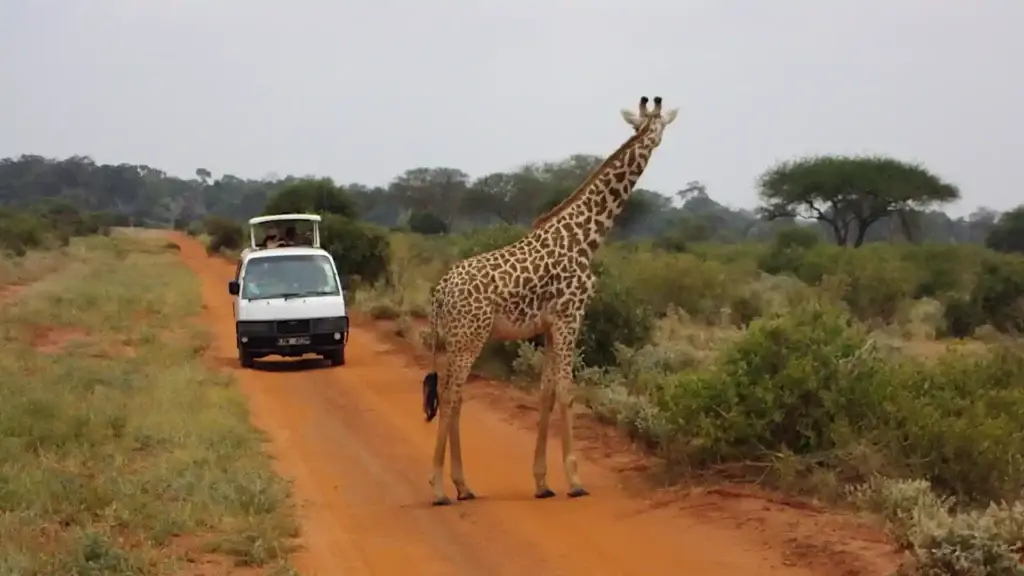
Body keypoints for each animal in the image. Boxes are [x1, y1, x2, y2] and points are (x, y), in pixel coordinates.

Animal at [422, 96, 680, 506]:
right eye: (649, 126)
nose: (651, 141)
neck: (586, 237)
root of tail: (440, 292)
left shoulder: (546, 325)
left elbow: (544, 394)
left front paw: (542, 482)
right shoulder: (570, 315)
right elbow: (567, 392)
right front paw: (574, 480)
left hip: (455, 339)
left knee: (456, 397)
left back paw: (464, 486)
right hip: (469, 337)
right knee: (449, 397)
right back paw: (439, 489)